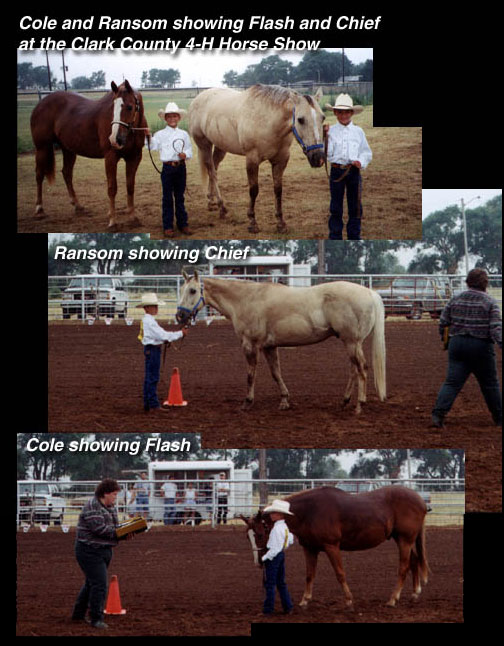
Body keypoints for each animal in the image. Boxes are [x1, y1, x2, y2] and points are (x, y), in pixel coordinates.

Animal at [30, 80, 147, 232]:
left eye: (129, 107)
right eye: (112, 107)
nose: (115, 139)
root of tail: (40, 105)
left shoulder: (134, 158)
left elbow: (130, 186)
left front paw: (132, 217)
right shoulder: (110, 157)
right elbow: (112, 188)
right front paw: (112, 221)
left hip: (68, 149)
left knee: (67, 173)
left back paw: (77, 206)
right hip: (42, 148)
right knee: (39, 175)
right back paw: (39, 209)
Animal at [176, 272, 386, 416]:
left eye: (192, 290)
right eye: (183, 289)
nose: (180, 315)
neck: (247, 299)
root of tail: (369, 293)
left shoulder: (250, 345)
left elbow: (250, 375)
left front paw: (247, 402)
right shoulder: (269, 347)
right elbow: (276, 373)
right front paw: (284, 401)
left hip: (352, 343)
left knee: (362, 369)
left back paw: (359, 405)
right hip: (351, 343)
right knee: (354, 370)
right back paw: (345, 401)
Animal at [187, 85, 324, 234]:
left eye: (322, 118)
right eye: (300, 119)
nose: (318, 158)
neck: (268, 119)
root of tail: (197, 99)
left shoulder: (281, 161)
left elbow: (278, 190)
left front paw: (280, 223)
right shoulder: (252, 159)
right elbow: (253, 190)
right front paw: (252, 222)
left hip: (220, 146)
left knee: (214, 168)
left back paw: (211, 201)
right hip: (204, 144)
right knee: (212, 172)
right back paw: (221, 207)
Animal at [241, 488, 430, 612]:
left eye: (259, 534)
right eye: (248, 536)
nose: (259, 562)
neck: (310, 511)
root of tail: (420, 501)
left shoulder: (332, 547)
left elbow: (340, 573)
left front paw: (349, 601)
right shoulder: (310, 549)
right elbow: (310, 575)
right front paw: (305, 601)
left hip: (405, 540)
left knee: (403, 567)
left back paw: (392, 600)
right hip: (403, 540)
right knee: (414, 561)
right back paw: (415, 594)